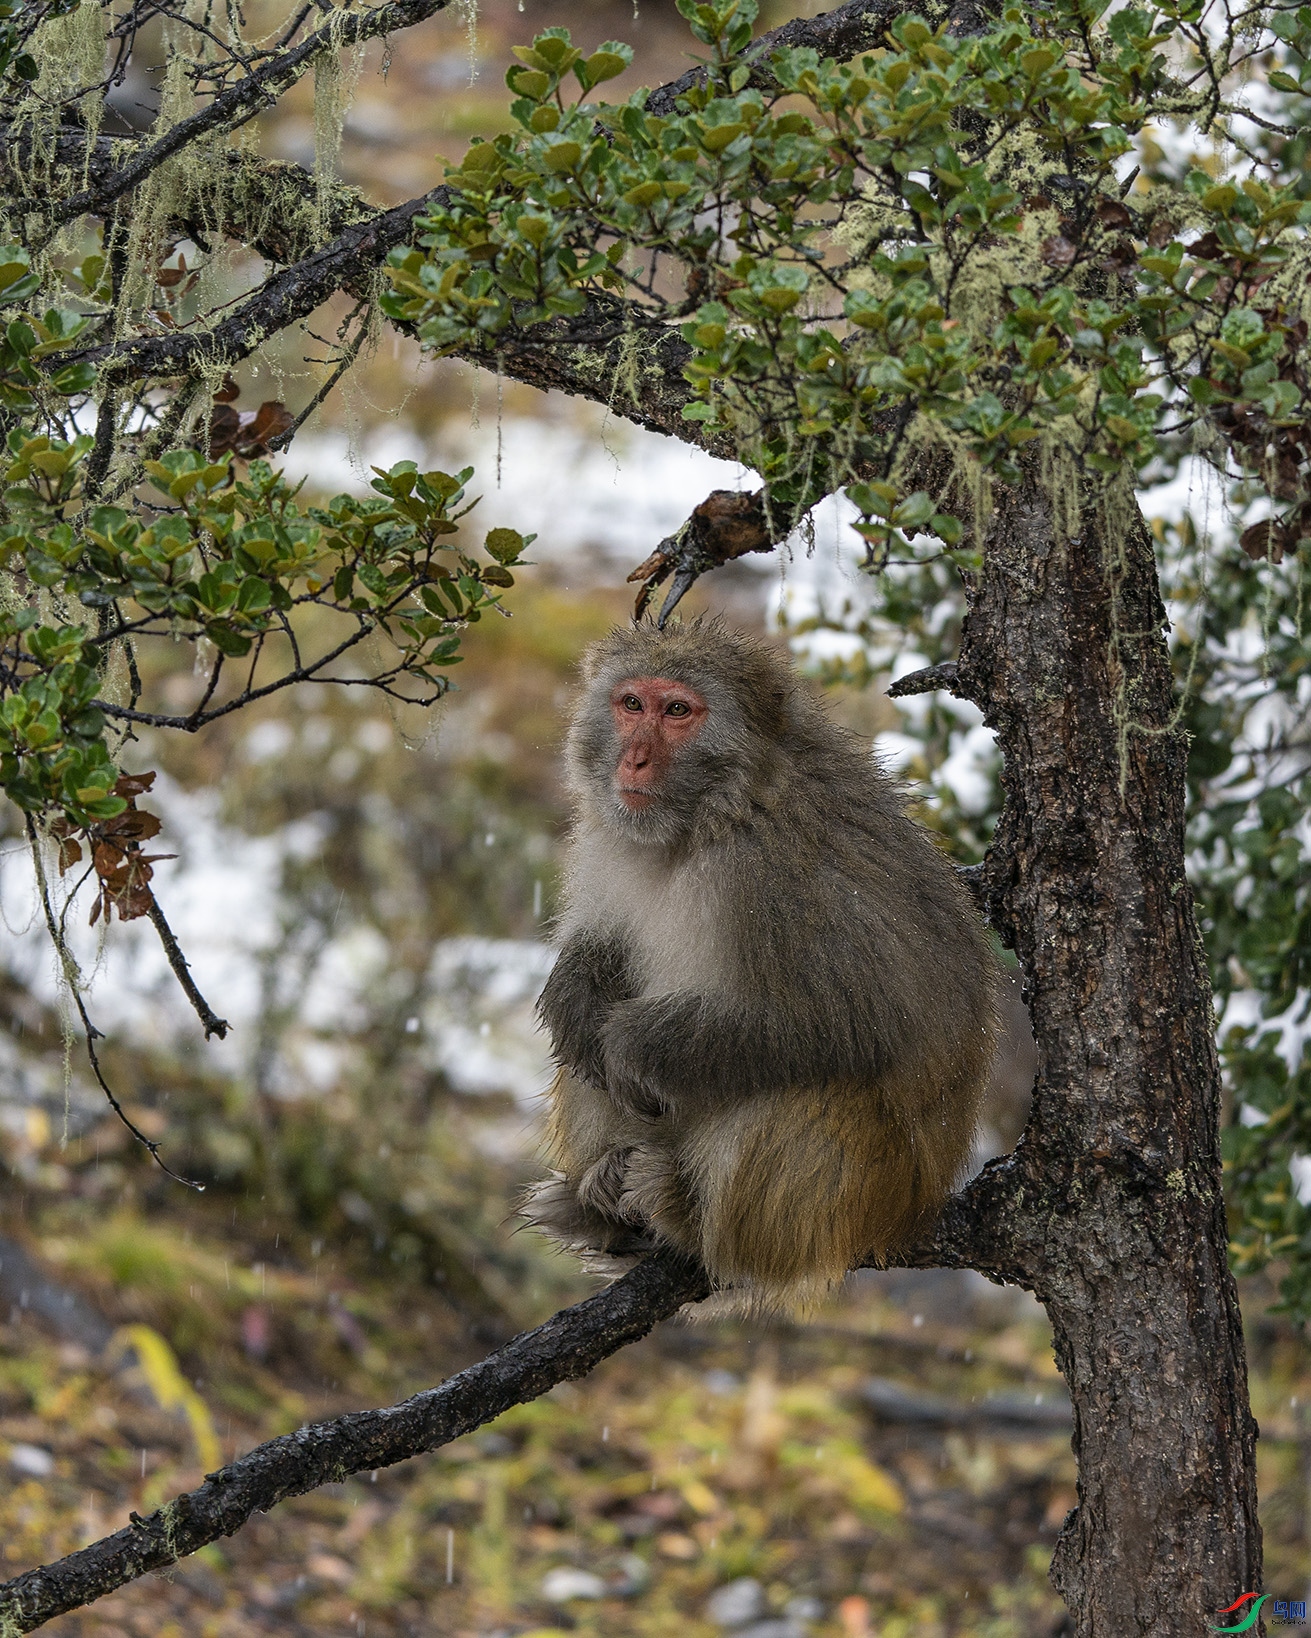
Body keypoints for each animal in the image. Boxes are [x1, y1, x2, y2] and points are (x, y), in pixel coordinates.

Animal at [527, 615, 996, 1303]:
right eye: (631, 703)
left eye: (677, 711)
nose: (634, 758)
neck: (706, 820)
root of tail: (914, 1210)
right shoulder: (606, 839)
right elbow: (598, 959)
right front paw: (575, 993)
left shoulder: (772, 874)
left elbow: (854, 1021)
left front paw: (631, 1044)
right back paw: (609, 1209)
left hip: (864, 1196)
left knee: (807, 1092)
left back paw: (687, 1222)